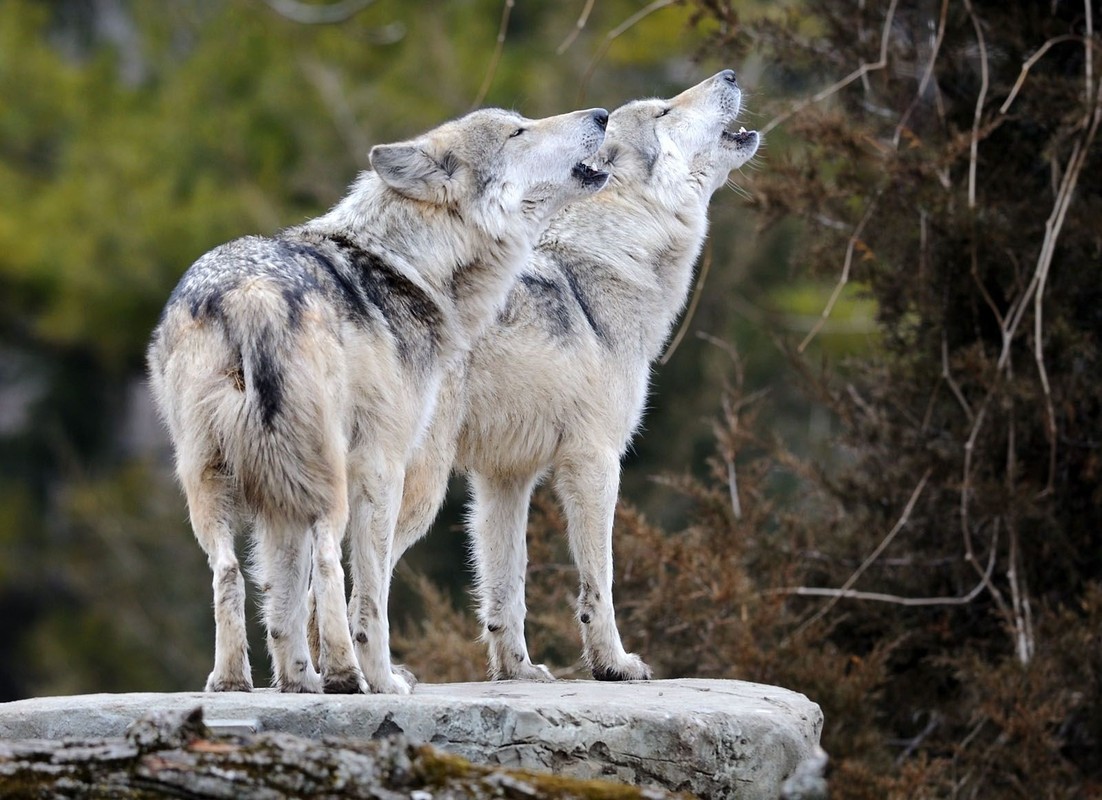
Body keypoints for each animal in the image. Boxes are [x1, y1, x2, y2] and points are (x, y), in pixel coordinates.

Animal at [144, 105, 612, 696]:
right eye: (518, 130)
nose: (601, 114)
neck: (407, 265)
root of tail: (252, 293)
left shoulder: (280, 501)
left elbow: (283, 604)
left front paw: (298, 681)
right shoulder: (382, 465)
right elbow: (369, 596)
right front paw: (379, 678)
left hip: (214, 481)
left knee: (229, 572)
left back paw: (233, 683)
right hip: (330, 480)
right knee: (329, 564)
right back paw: (351, 677)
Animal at [392, 70, 762, 683]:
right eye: (664, 111)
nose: (731, 74)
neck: (608, 262)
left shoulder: (504, 480)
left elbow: (506, 589)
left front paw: (517, 672)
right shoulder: (595, 461)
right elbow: (599, 583)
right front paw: (613, 664)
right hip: (420, 489)